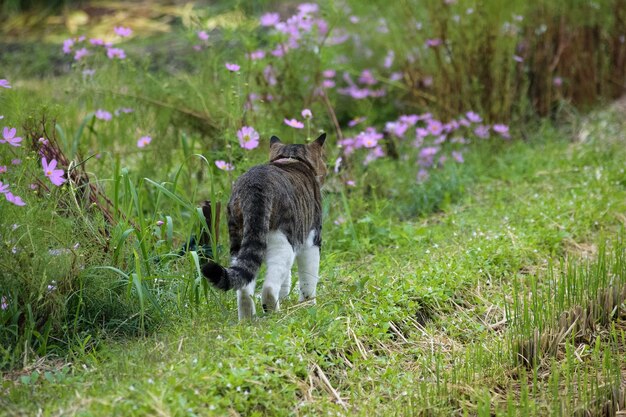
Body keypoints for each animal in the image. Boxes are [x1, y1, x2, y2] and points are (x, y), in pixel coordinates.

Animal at [202, 133, 326, 318]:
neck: (290, 158)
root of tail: (254, 186)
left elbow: (286, 279)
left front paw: (286, 298)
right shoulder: (311, 239)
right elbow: (308, 278)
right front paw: (308, 304)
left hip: (239, 239)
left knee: (244, 287)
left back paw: (248, 319)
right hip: (282, 242)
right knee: (269, 287)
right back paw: (274, 313)